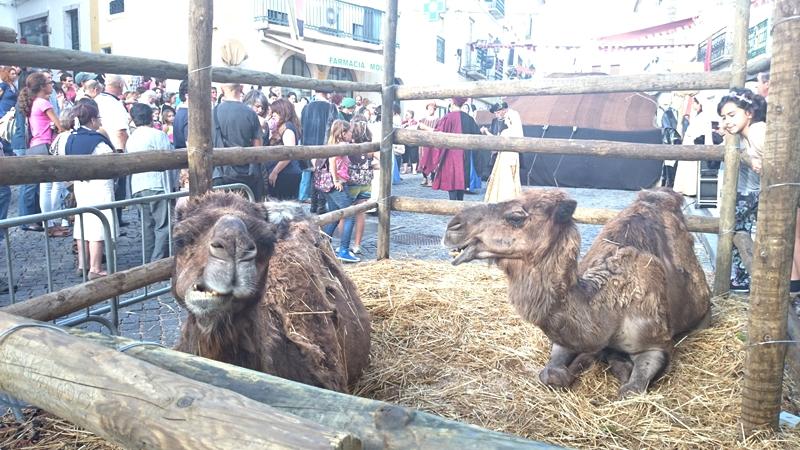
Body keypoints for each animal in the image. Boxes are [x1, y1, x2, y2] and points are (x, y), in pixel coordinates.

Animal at [444, 187, 712, 398]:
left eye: (516, 216)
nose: (453, 226)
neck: (610, 311)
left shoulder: (657, 343)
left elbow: (631, 390)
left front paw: (618, 366)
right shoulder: (566, 339)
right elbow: (551, 373)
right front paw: (584, 363)